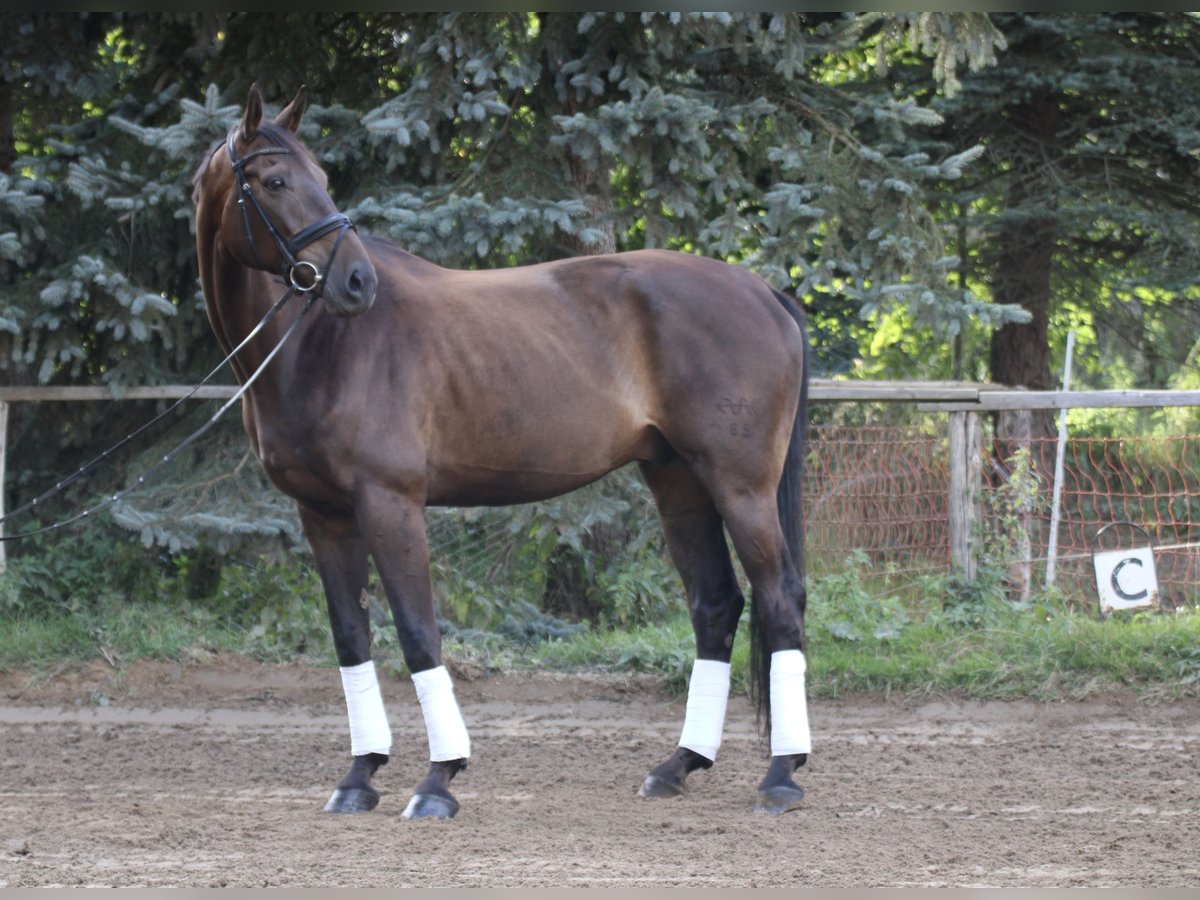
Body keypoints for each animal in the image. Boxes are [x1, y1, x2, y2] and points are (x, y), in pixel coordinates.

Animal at [194, 88, 816, 820]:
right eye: (275, 181)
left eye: (320, 175)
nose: (355, 282)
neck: (319, 345)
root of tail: (764, 291)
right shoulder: (322, 513)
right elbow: (350, 637)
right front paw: (359, 776)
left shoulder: (389, 503)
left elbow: (418, 633)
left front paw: (439, 780)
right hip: (679, 482)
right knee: (716, 606)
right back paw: (679, 765)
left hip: (739, 485)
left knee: (780, 600)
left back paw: (780, 774)